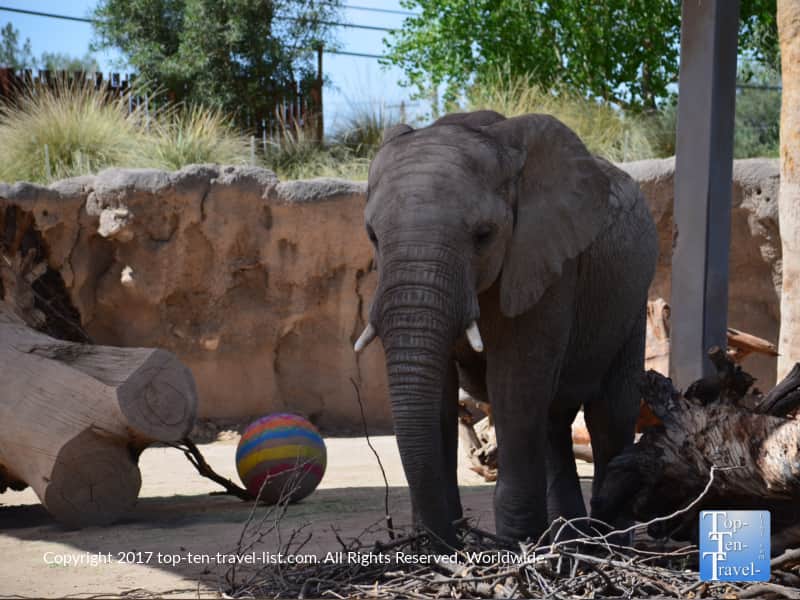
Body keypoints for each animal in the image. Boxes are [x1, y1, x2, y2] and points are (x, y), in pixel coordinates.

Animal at [354, 110, 658, 547]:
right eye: (372, 236)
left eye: (484, 235)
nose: (450, 541)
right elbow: (441, 394)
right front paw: (443, 544)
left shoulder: (546, 263)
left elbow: (515, 382)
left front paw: (514, 547)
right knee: (552, 425)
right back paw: (567, 541)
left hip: (630, 302)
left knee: (608, 417)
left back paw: (602, 544)